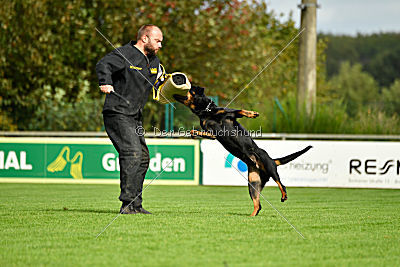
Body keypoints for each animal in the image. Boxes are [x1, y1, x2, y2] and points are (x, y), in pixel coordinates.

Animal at [173, 87, 310, 217]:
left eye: (190, 90)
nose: (175, 93)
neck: (206, 112)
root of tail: (272, 160)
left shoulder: (229, 116)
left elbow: (239, 110)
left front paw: (252, 113)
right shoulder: (211, 133)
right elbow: (194, 131)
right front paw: (193, 134)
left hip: (270, 169)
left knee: (281, 184)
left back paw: (283, 195)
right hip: (253, 184)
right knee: (258, 205)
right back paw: (251, 216)